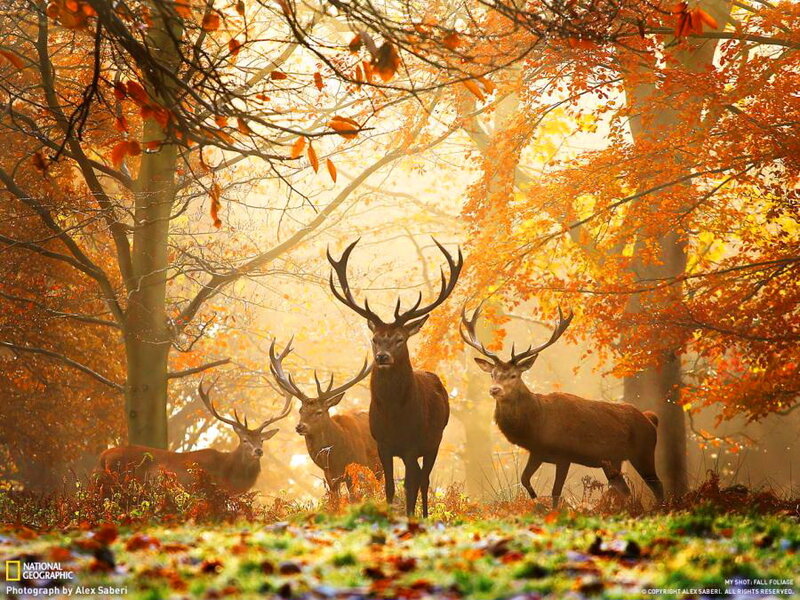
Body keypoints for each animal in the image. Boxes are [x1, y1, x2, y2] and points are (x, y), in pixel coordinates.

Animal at [268, 339, 382, 501]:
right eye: (300, 410)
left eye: (319, 412)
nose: (300, 427)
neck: (336, 458)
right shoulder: (329, 476)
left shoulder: (354, 468)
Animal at [327, 238, 462, 517]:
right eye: (375, 338)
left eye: (400, 339)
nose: (382, 357)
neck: (394, 416)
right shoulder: (383, 444)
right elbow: (389, 486)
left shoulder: (412, 444)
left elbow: (410, 485)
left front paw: (410, 517)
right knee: (419, 478)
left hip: (435, 440)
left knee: (424, 480)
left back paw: (424, 515)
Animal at [461, 303, 664, 507]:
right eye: (492, 374)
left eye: (514, 375)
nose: (494, 389)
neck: (537, 423)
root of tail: (650, 419)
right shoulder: (537, 452)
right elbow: (524, 479)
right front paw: (536, 502)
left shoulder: (564, 454)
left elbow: (556, 492)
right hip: (613, 461)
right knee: (625, 490)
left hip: (644, 451)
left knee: (658, 486)